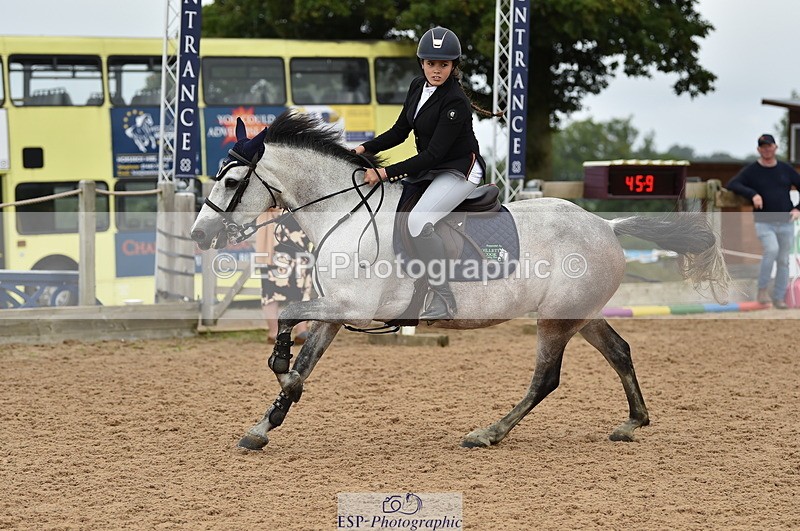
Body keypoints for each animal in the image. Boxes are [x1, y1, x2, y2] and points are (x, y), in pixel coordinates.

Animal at [191, 112, 730, 451]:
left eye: (232, 182)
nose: (199, 235)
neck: (344, 211)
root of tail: (606, 226)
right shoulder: (335, 311)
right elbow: (302, 360)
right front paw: (266, 422)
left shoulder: (349, 307)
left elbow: (287, 322)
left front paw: (281, 375)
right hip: (580, 312)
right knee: (619, 351)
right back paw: (632, 422)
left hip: (556, 320)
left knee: (546, 379)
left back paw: (488, 433)